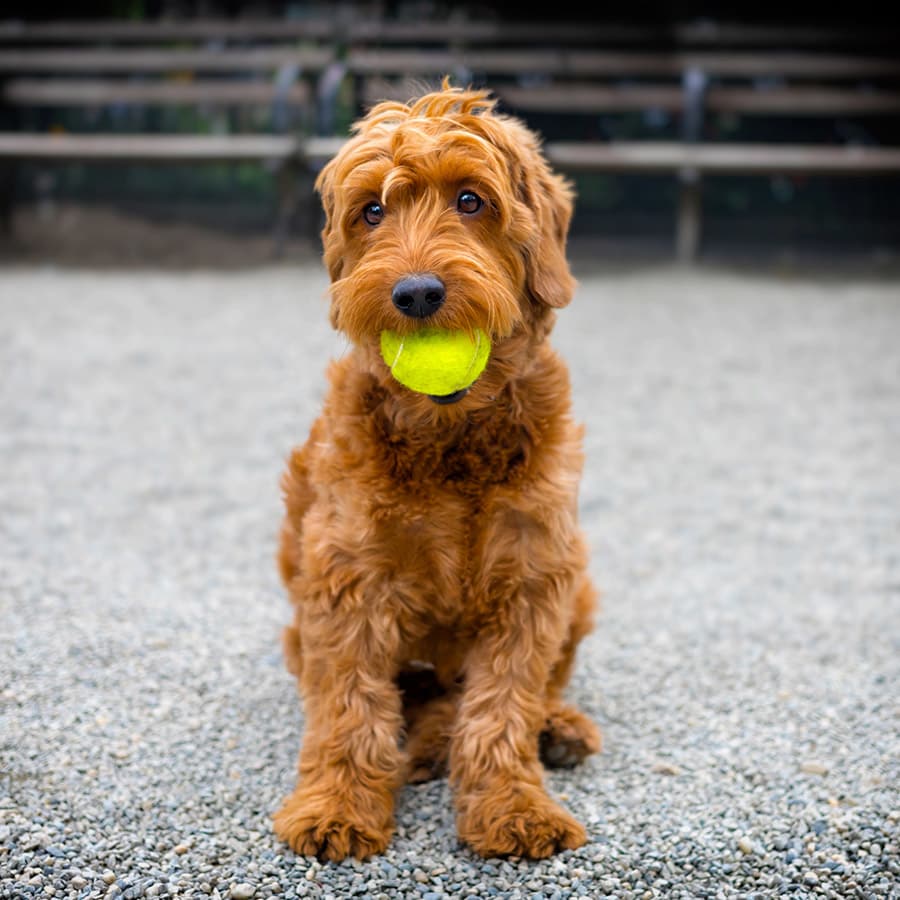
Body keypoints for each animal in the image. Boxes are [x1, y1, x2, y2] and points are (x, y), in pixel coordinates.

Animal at [270, 84, 600, 864]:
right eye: (372, 211)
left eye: (472, 200)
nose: (416, 293)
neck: (451, 440)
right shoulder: (345, 579)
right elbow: (348, 704)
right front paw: (337, 807)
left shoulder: (535, 579)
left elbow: (504, 705)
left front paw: (513, 806)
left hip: (581, 585)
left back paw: (555, 729)